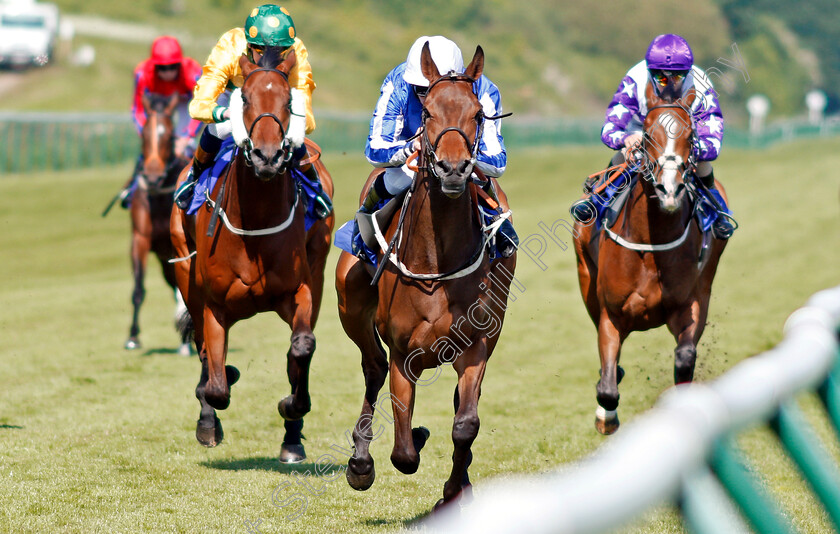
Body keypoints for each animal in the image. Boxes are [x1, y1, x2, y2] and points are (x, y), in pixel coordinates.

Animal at [126, 93, 192, 356]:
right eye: (144, 134)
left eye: (170, 135)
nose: (152, 177)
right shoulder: (140, 239)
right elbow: (138, 289)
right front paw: (133, 337)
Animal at [168, 48, 334, 462]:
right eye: (243, 98)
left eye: (288, 101)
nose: (267, 157)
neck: (256, 222)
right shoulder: (214, 305)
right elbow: (216, 384)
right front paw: (211, 415)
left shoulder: (299, 290)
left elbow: (302, 348)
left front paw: (291, 410)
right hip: (185, 273)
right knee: (203, 353)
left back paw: (292, 437)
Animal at [336, 44, 520, 512]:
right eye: (430, 110)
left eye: (477, 113)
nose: (455, 170)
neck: (437, 262)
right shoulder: (405, 354)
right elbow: (403, 449)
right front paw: (411, 439)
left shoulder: (475, 346)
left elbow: (465, 424)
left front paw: (454, 491)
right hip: (351, 305)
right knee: (372, 367)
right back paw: (360, 462)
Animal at [576, 82, 728, 436]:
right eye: (646, 134)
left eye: (691, 135)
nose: (668, 189)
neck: (650, 246)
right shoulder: (611, 315)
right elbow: (607, 386)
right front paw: (606, 416)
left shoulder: (687, 306)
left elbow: (685, 357)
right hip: (586, 280)